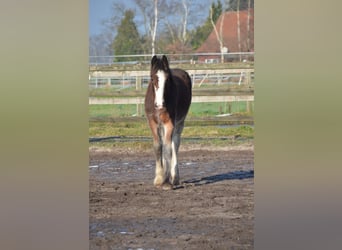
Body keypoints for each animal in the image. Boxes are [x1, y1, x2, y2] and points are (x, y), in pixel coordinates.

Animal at [144, 55, 192, 189]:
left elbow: (167, 148)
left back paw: (174, 177)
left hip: (179, 123)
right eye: (152, 78)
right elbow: (157, 146)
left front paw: (166, 181)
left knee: (174, 143)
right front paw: (159, 178)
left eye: (167, 80)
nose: (160, 104)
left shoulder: (169, 123)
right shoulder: (153, 123)